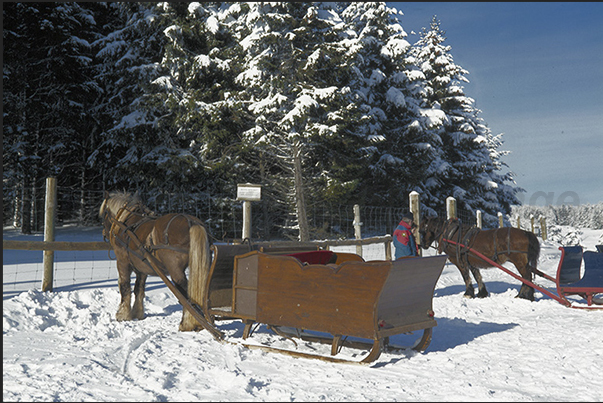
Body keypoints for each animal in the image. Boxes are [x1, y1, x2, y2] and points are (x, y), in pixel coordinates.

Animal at [99, 192, 212, 332]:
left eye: (104, 213)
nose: (104, 233)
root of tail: (192, 222)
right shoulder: (142, 269)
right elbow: (139, 289)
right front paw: (138, 313)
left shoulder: (122, 262)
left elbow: (125, 287)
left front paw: (122, 315)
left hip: (176, 271)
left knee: (185, 294)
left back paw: (187, 324)